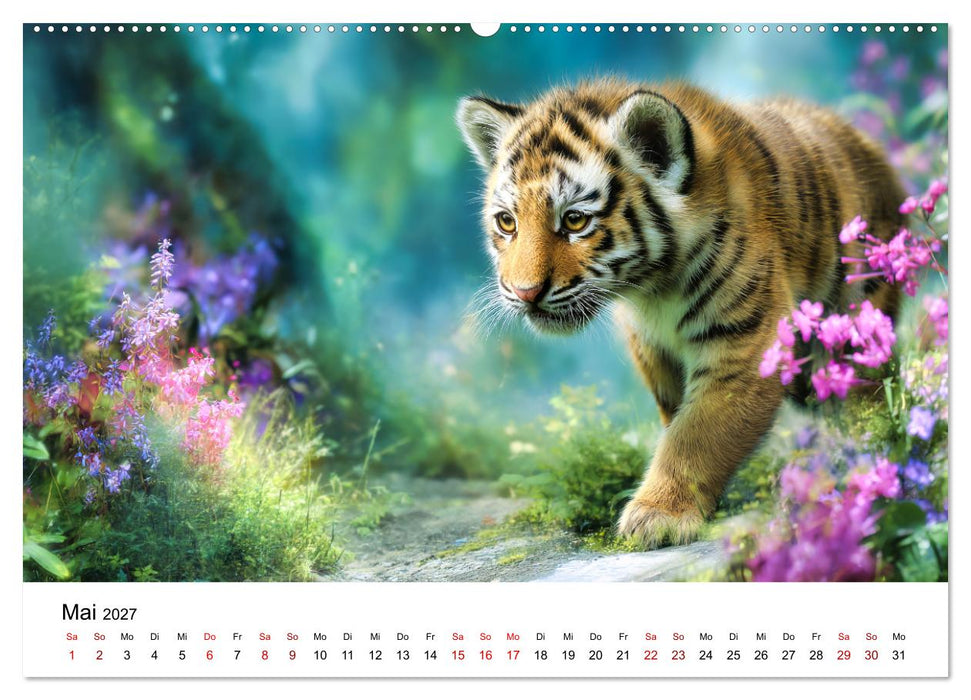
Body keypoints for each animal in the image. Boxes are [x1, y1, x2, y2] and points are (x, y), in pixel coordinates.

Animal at [456, 78, 905, 548]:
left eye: (576, 220)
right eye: (507, 223)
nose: (524, 293)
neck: (652, 287)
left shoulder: (745, 344)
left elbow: (697, 434)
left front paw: (659, 515)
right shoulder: (653, 349)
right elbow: (676, 420)